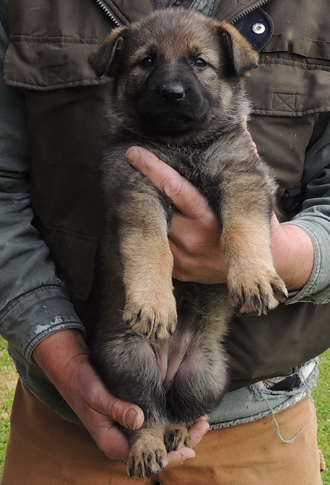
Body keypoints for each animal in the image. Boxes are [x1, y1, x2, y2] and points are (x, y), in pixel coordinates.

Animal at [89, 9, 288, 478]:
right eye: (146, 61)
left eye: (200, 62)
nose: (172, 94)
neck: (183, 146)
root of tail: (166, 372)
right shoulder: (136, 190)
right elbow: (152, 247)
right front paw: (155, 302)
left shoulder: (241, 176)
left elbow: (242, 228)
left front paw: (254, 277)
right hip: (128, 361)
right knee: (145, 413)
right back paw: (147, 445)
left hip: (206, 375)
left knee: (179, 410)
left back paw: (176, 432)